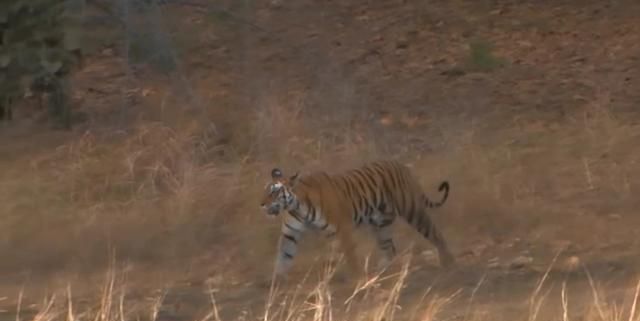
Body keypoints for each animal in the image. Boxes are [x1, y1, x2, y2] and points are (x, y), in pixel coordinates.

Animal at [260, 159, 456, 278]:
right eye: (265, 190)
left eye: (274, 192)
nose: (261, 204)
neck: (297, 206)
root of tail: (402, 166)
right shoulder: (290, 233)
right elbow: (284, 256)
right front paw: (276, 281)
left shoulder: (342, 229)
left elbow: (350, 256)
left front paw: (357, 280)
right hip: (381, 224)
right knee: (389, 248)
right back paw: (383, 273)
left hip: (412, 210)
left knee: (436, 234)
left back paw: (449, 263)